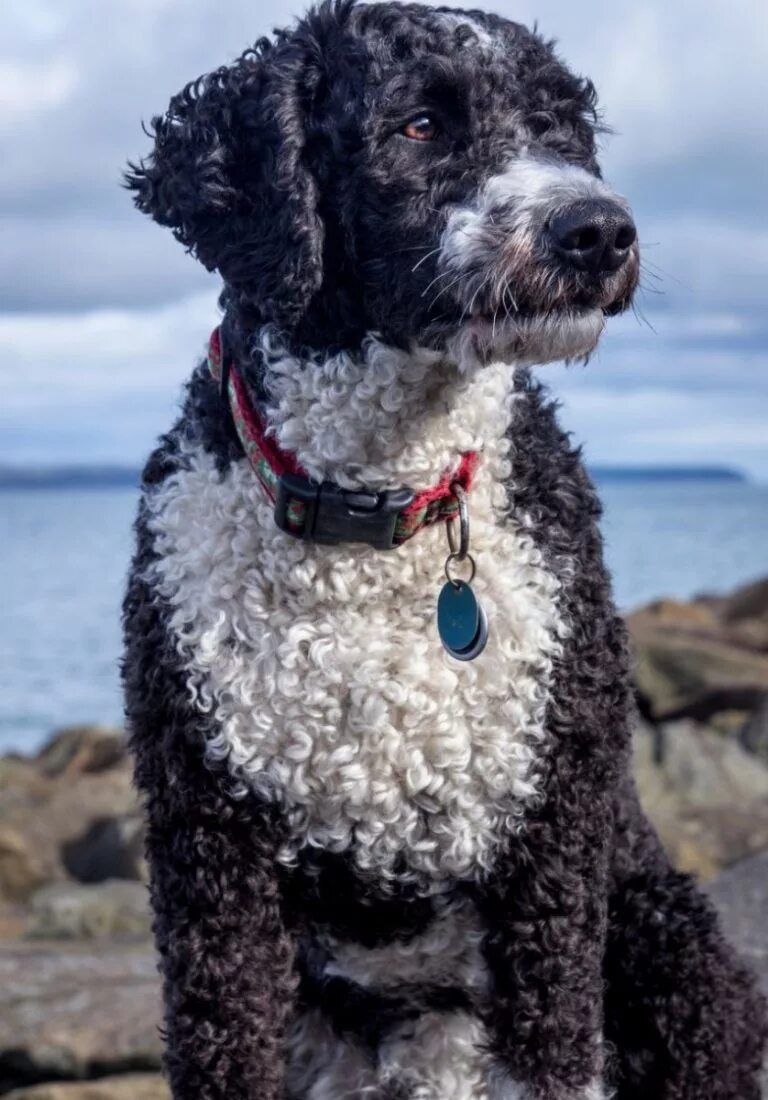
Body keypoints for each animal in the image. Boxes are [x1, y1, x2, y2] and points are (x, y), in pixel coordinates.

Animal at [122, 3, 766, 1098]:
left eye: (562, 128)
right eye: (421, 125)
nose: (599, 228)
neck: (380, 510)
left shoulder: (555, 825)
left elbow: (555, 1044)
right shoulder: (209, 842)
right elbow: (223, 1039)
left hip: (669, 948)